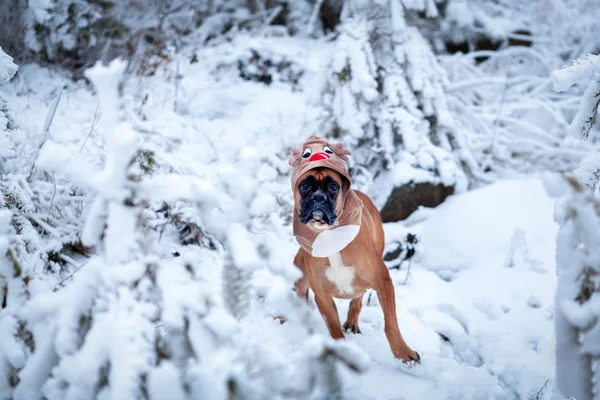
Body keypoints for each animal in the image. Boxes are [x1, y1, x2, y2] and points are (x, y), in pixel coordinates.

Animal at [288, 136, 420, 364]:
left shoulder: (383, 282)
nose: (318, 197)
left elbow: (391, 324)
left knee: (358, 299)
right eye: (304, 186)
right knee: (300, 295)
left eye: (333, 188)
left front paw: (403, 353)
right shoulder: (322, 296)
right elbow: (334, 329)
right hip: (300, 270)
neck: (330, 236)